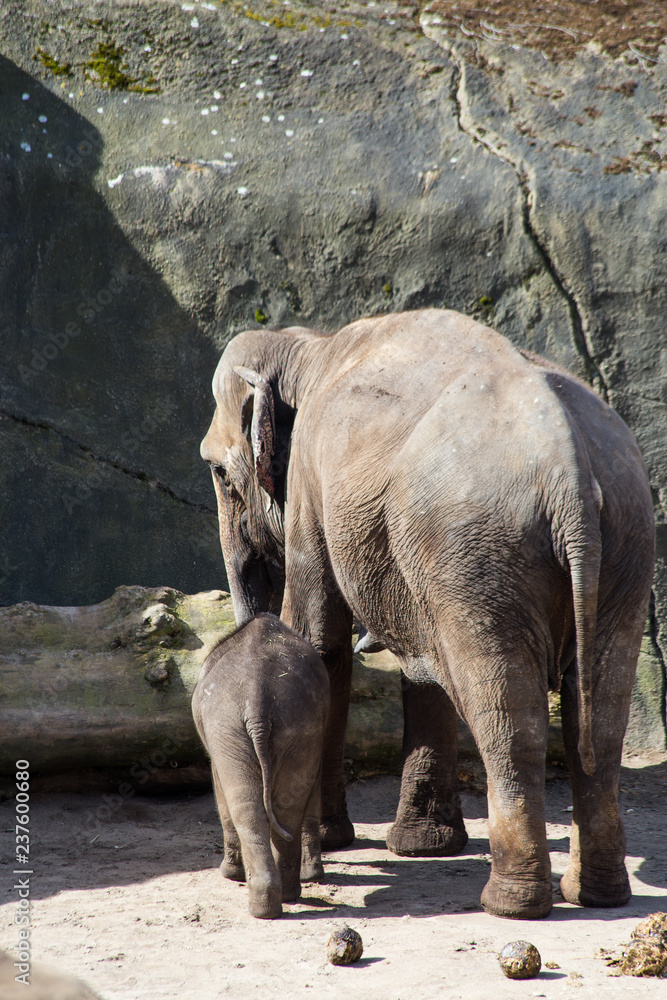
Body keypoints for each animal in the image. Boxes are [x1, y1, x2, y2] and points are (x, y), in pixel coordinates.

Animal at [191, 613, 329, 918]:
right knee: (284, 807)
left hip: (226, 726)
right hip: (298, 724)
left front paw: (230, 875)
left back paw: (258, 900)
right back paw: (282, 898)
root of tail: (258, 700)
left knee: (244, 807)